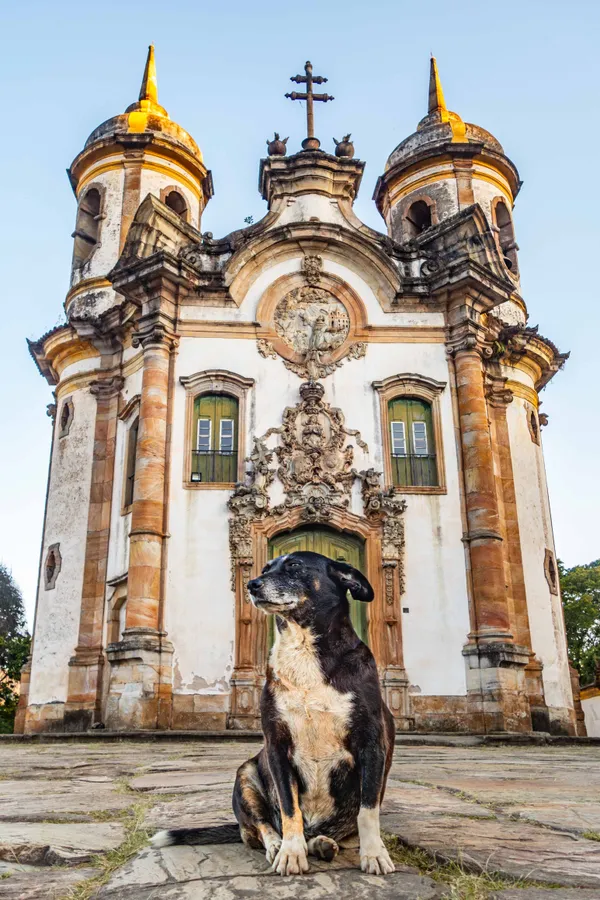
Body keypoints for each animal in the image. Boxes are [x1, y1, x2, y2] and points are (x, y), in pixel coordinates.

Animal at [152, 552, 396, 876]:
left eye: (295, 566)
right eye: (266, 568)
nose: (252, 585)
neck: (303, 649)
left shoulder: (371, 744)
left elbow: (368, 811)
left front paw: (374, 854)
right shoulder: (277, 746)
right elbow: (289, 808)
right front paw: (291, 853)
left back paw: (322, 843)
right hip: (246, 775)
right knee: (259, 827)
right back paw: (279, 845)